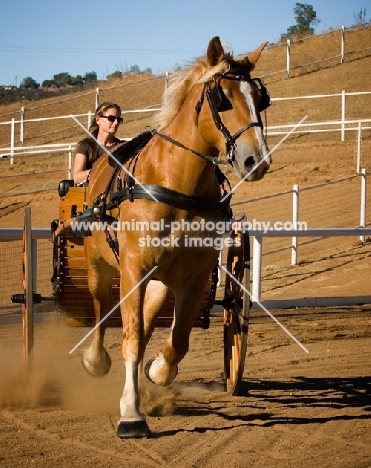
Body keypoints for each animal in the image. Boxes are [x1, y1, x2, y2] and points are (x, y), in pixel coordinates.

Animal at [82, 36, 274, 438]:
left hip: (159, 280)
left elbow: (178, 341)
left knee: (147, 319)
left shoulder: (194, 278)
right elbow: (130, 338)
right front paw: (131, 413)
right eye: (221, 98)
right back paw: (95, 359)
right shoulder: (133, 270)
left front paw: (156, 370)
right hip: (99, 264)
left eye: (260, 98)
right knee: (101, 309)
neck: (175, 184)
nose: (258, 160)